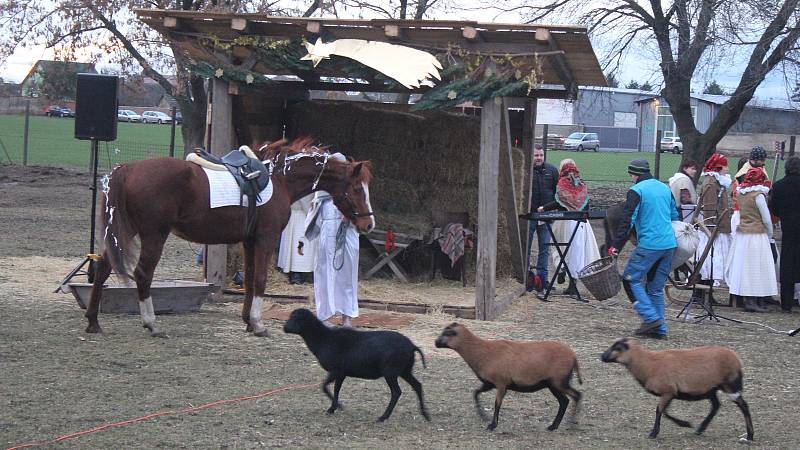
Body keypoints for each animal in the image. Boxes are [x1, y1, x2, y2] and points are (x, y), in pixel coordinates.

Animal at [87, 137, 376, 338]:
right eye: (356, 188)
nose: (368, 223)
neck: (280, 179)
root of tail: (127, 169)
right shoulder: (265, 239)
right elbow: (259, 281)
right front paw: (258, 324)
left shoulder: (249, 241)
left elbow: (248, 280)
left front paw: (248, 321)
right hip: (154, 235)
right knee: (143, 274)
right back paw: (152, 323)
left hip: (125, 232)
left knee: (103, 266)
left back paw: (93, 321)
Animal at [282, 306, 432, 422]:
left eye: (295, 318)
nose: (284, 328)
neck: (323, 339)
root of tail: (412, 346)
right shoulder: (342, 373)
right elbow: (336, 389)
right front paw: (336, 407)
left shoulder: (336, 370)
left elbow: (324, 386)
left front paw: (335, 407)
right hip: (404, 370)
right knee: (417, 386)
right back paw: (425, 414)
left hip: (391, 372)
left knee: (396, 392)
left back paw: (383, 417)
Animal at [438, 322, 580, 430]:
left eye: (447, 333)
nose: (436, 342)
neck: (482, 352)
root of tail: (574, 356)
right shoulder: (489, 383)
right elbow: (476, 393)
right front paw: (483, 416)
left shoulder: (501, 383)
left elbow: (497, 404)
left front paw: (492, 425)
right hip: (554, 384)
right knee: (565, 401)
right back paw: (555, 426)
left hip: (558, 381)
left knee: (575, 396)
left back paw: (570, 423)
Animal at [604, 338, 752, 440]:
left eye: (617, 347)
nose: (602, 356)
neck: (648, 364)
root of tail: (736, 358)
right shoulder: (671, 393)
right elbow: (664, 412)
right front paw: (685, 424)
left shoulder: (668, 391)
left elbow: (659, 411)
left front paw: (654, 433)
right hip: (711, 388)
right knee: (716, 405)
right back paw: (700, 429)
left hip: (730, 385)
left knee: (743, 405)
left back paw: (750, 436)